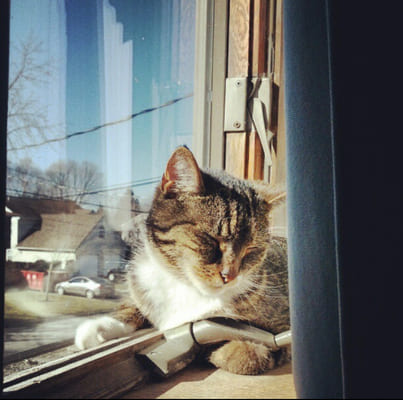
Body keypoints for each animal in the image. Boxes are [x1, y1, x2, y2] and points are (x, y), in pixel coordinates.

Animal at [75, 146, 290, 376]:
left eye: (251, 249)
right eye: (211, 238)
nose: (230, 276)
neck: (186, 287)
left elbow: (249, 353)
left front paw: (228, 351)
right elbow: (132, 304)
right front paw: (100, 327)